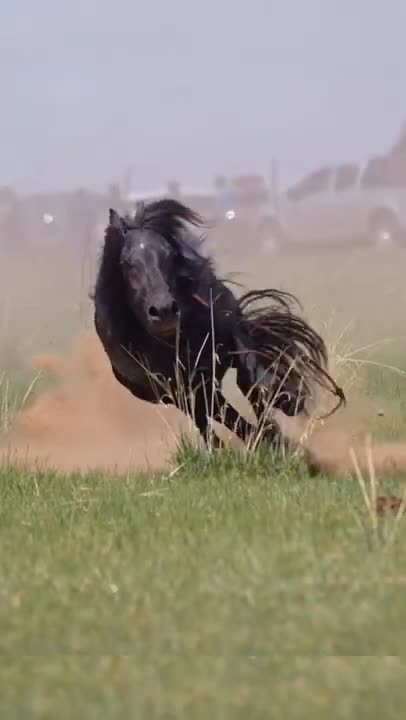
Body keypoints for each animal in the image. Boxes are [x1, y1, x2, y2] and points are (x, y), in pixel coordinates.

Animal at [92, 198, 345, 453]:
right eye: (126, 263)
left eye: (169, 254)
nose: (164, 311)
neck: (175, 341)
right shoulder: (178, 387)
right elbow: (212, 415)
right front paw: (266, 437)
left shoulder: (231, 331)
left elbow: (250, 378)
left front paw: (285, 399)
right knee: (213, 415)